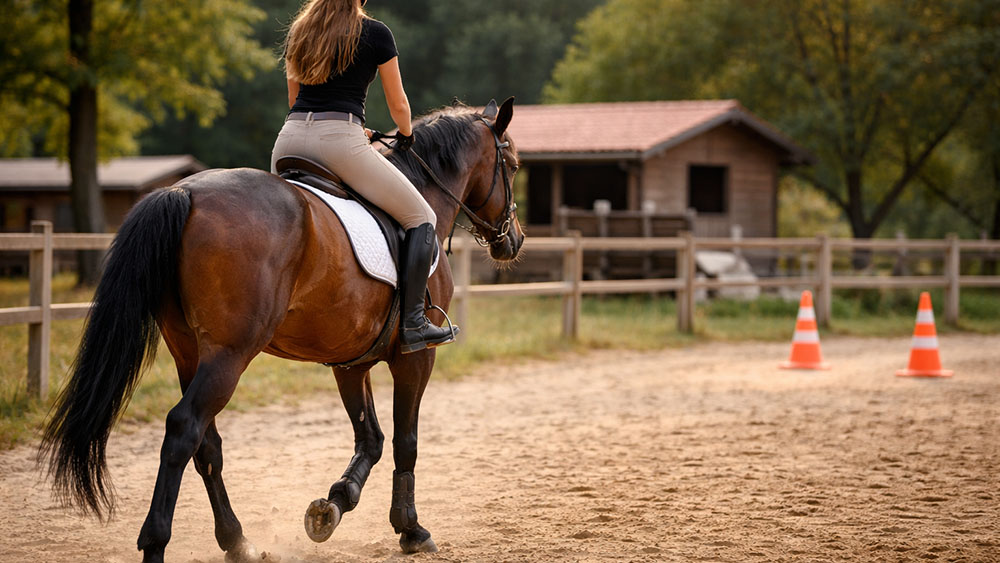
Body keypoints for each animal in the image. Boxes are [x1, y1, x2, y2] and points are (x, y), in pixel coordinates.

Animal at [39, 97, 524, 562]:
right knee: (183, 428)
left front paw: (334, 505)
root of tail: (183, 191)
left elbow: (370, 438)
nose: (513, 240)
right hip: (230, 353)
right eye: (515, 165)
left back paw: (237, 541)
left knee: (206, 443)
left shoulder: (350, 362)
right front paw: (411, 530)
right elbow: (407, 441)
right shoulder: (415, 357)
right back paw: (156, 544)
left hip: (188, 351)